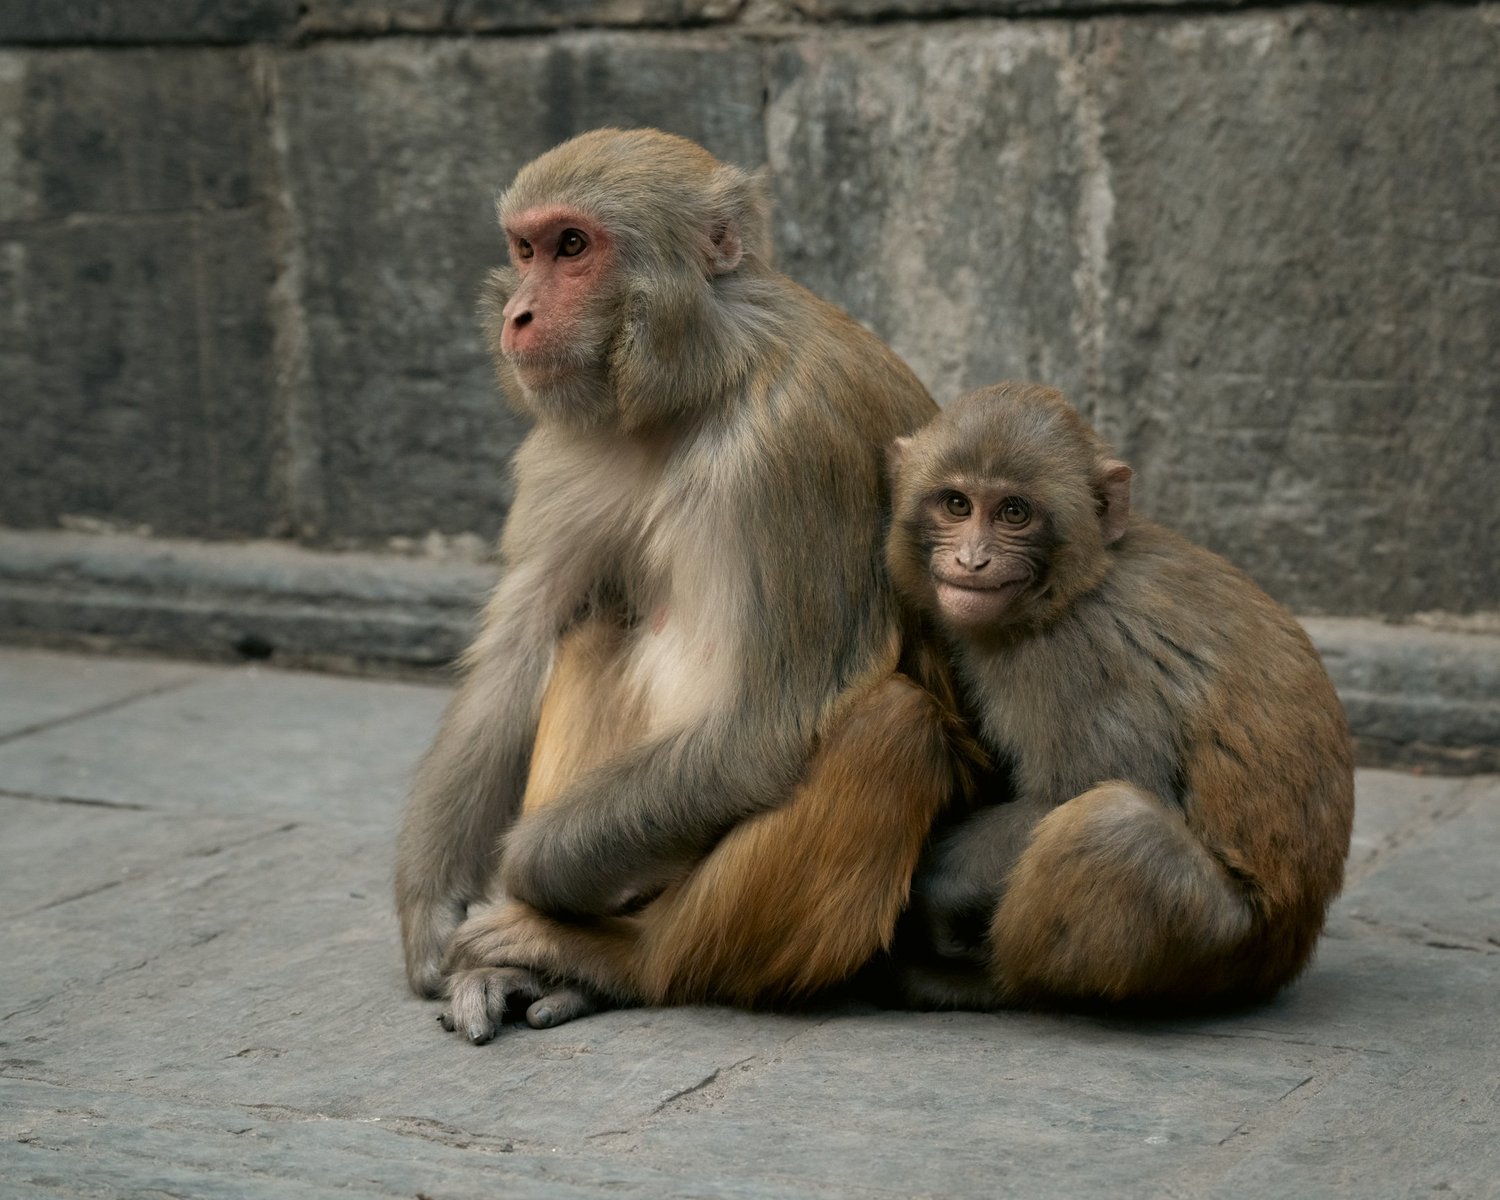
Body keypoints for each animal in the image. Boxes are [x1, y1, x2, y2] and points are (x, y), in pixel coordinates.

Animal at [392, 128, 959, 1042]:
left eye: (574, 247)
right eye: (525, 250)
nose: (519, 315)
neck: (699, 381)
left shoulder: (786, 454)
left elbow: (762, 726)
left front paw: (520, 872)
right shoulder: (568, 447)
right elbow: (514, 657)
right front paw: (433, 909)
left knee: (892, 727)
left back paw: (612, 958)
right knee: (592, 622)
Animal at [881, 381, 1355, 1010]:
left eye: (1014, 512)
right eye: (957, 504)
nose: (971, 560)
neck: (1067, 591)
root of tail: (1295, 940)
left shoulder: (1080, 661)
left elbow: (1072, 794)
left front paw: (932, 888)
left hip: (1225, 949)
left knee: (1114, 829)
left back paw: (992, 985)